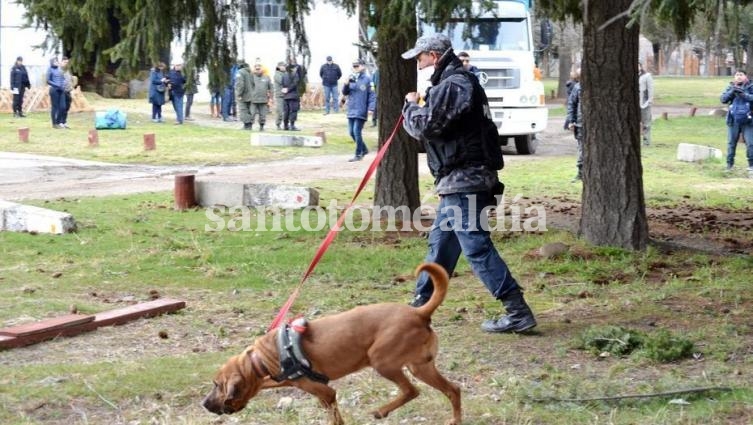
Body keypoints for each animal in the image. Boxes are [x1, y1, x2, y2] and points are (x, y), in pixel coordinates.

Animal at [203, 262, 458, 420]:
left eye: (217, 385)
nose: (204, 404)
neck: (261, 360)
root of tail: (419, 313)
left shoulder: (326, 394)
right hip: (420, 367)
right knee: (453, 390)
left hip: (382, 362)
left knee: (412, 391)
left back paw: (380, 412)